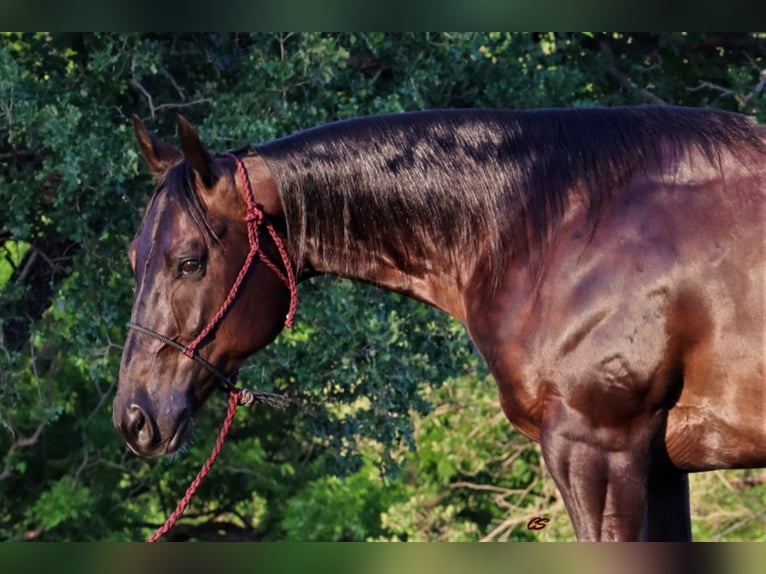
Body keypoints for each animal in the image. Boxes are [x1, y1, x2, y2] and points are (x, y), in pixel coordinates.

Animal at [114, 106, 766, 544]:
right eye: (133, 256)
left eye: (190, 261)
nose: (134, 417)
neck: (561, 222)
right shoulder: (661, 466)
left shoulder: (600, 448)